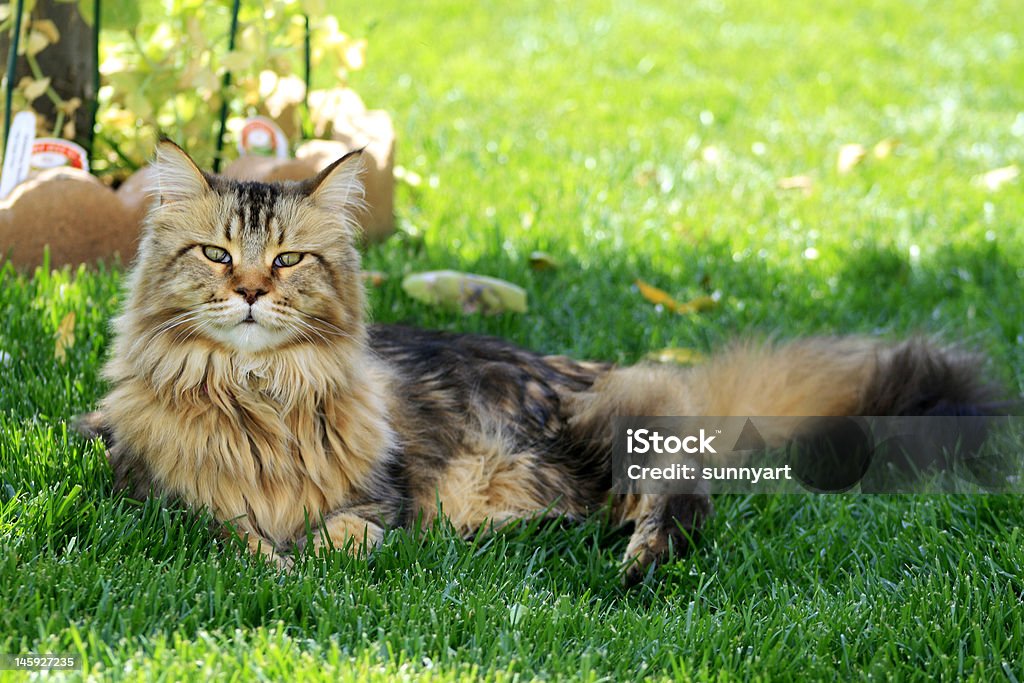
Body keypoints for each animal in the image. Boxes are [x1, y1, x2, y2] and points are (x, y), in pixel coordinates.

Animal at [79, 141, 999, 585]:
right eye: (216, 253)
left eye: (288, 260)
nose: (248, 292)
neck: (257, 392)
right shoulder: (153, 495)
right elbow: (228, 531)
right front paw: (273, 562)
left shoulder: (379, 496)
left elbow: (346, 532)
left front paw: (308, 561)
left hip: (612, 423)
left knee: (681, 503)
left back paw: (634, 559)